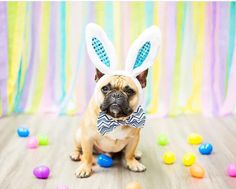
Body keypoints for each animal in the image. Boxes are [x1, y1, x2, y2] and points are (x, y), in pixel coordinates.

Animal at [69, 22, 159, 178]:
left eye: (129, 91)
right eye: (105, 88)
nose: (116, 95)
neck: (115, 119)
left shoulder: (134, 138)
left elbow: (129, 153)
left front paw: (133, 162)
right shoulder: (87, 138)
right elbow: (87, 155)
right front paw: (85, 167)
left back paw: (137, 153)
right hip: (79, 135)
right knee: (78, 148)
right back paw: (75, 154)